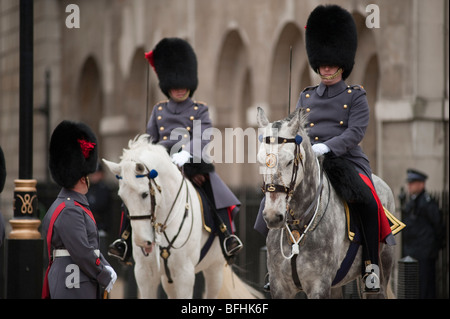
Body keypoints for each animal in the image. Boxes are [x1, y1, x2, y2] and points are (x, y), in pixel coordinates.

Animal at [102, 136, 256, 300]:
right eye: (121, 197)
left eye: (144, 194)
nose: (142, 242)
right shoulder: (145, 274)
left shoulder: (185, 274)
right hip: (168, 278)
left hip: (214, 269)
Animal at [256, 108, 398, 300]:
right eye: (260, 161)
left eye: (289, 161)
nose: (272, 216)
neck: (298, 227)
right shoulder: (280, 287)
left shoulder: (319, 286)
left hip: (382, 267)